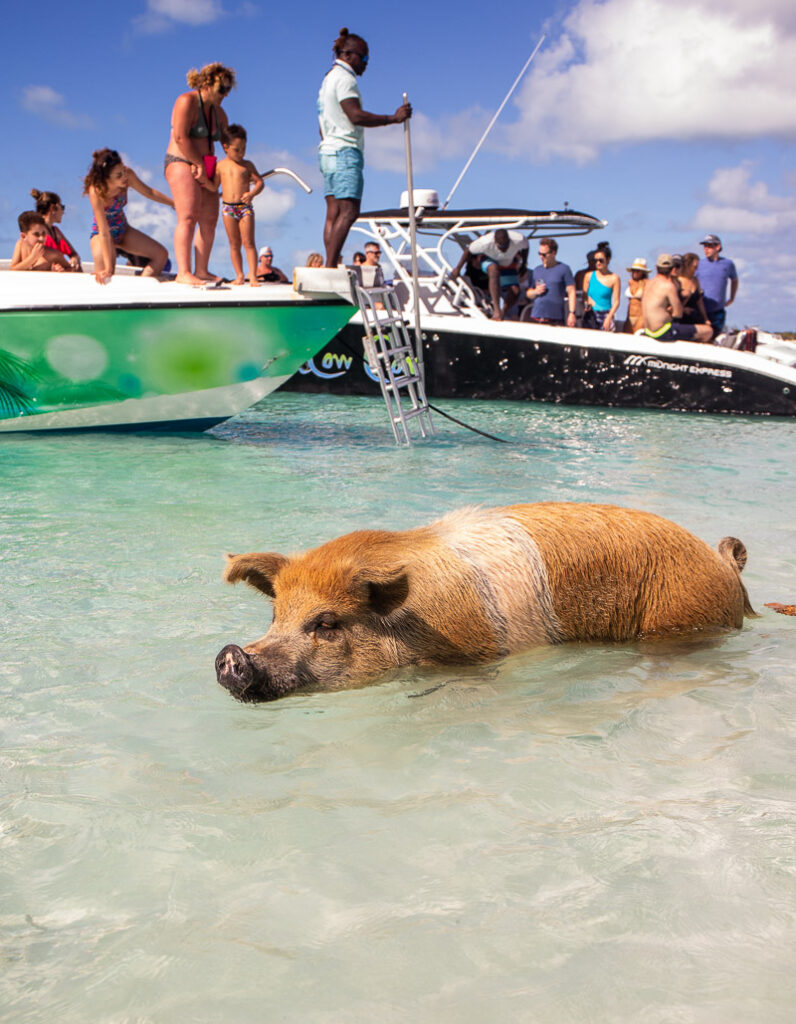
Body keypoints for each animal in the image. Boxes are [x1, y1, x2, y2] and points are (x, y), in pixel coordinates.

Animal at [214, 505, 753, 704]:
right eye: (274, 616)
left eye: (326, 623)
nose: (232, 655)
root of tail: (723, 564)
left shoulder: (474, 656)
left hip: (679, 617)